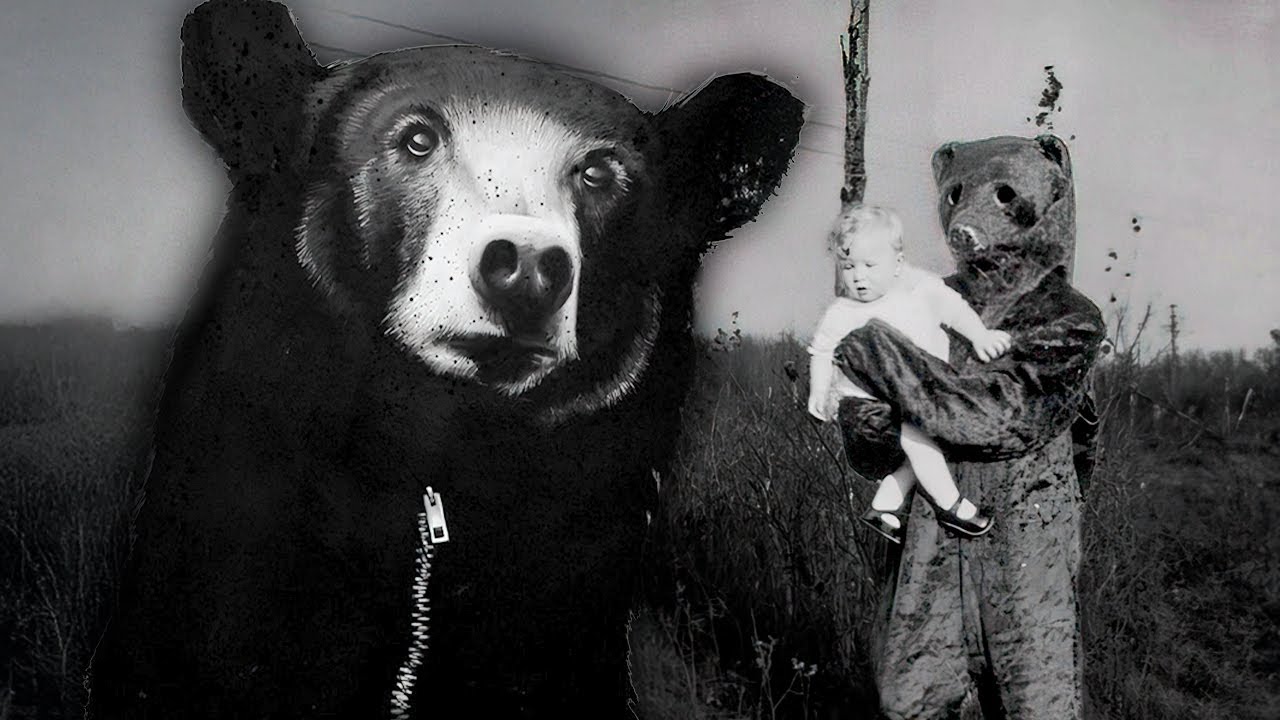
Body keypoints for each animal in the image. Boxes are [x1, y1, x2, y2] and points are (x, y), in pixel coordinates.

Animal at [832, 134, 1105, 719]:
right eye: (954, 192)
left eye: (1006, 193)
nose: (963, 230)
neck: (999, 291)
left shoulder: (1072, 331)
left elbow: (1006, 397)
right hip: (925, 599)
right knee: (920, 675)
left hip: (1031, 586)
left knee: (1041, 674)